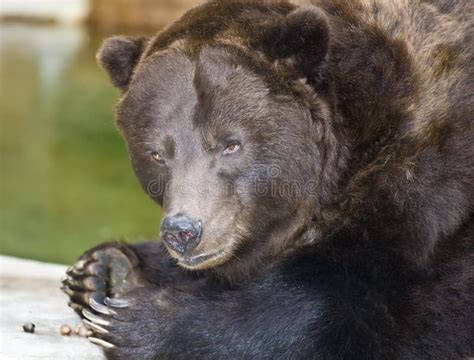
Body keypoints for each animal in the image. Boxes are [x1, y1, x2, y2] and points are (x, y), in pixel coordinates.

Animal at [61, 1, 472, 358]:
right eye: (157, 153)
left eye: (231, 144)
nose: (183, 232)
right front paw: (100, 271)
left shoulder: (420, 193)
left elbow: (342, 308)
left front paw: (131, 320)